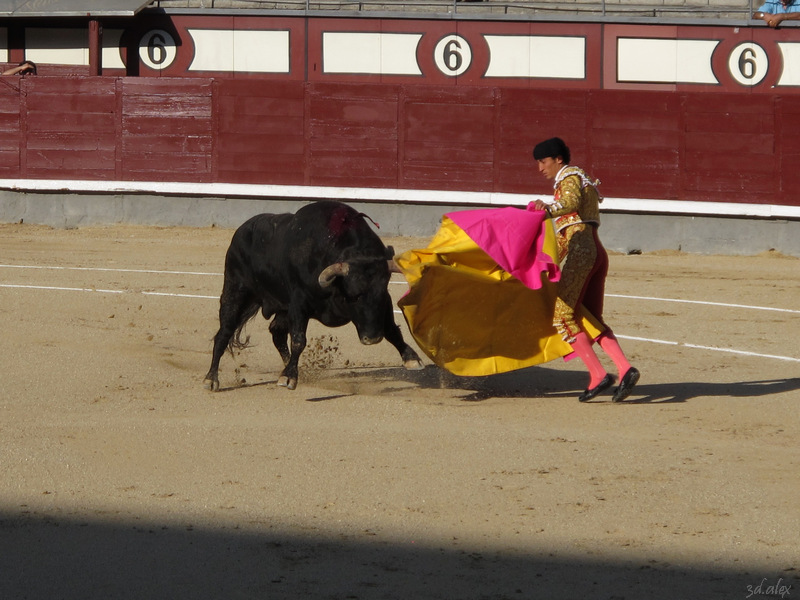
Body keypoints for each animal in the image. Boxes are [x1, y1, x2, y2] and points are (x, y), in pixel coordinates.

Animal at [203, 199, 422, 392]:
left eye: (381, 292)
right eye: (353, 296)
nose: (373, 338)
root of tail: (241, 231)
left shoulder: (385, 302)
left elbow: (391, 329)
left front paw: (411, 358)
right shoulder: (299, 303)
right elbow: (299, 340)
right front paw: (289, 377)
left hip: (281, 306)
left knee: (277, 332)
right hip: (235, 291)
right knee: (224, 333)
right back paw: (211, 379)